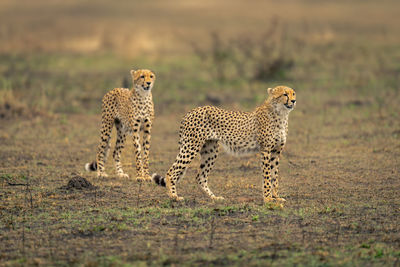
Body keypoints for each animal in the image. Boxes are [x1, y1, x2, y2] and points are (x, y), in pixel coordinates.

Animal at [153, 86, 296, 203]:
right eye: (285, 94)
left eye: (293, 93)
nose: (294, 101)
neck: (280, 114)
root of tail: (192, 110)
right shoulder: (265, 150)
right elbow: (267, 176)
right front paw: (267, 198)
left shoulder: (276, 152)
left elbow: (274, 176)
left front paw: (276, 197)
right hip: (191, 146)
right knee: (172, 171)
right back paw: (174, 196)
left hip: (210, 150)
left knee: (200, 176)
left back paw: (214, 197)